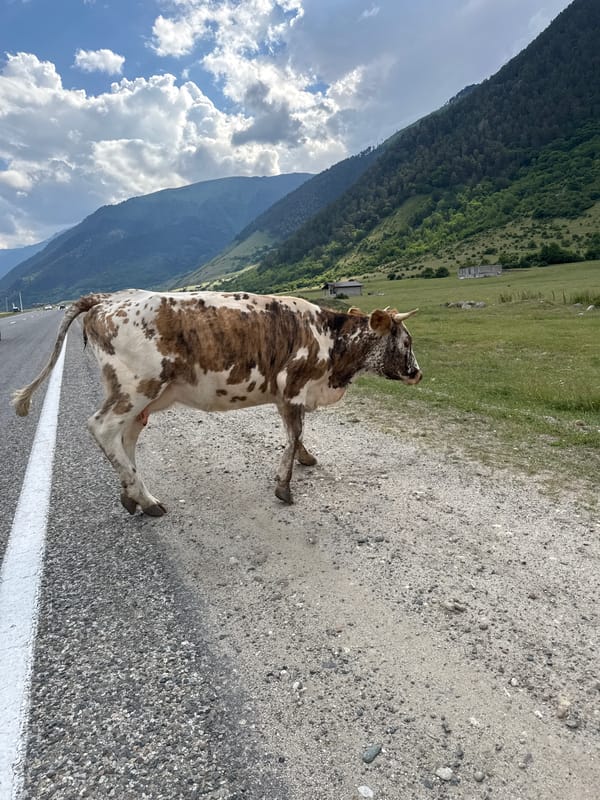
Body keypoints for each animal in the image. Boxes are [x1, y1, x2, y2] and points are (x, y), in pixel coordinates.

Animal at [12, 289, 421, 516]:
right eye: (407, 340)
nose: (417, 373)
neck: (330, 343)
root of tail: (107, 298)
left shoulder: (285, 395)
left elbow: (297, 436)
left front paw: (306, 459)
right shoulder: (293, 387)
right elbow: (293, 435)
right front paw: (284, 486)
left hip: (140, 395)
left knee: (126, 437)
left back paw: (132, 496)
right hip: (136, 386)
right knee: (103, 428)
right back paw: (146, 499)